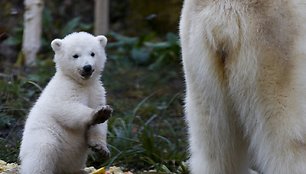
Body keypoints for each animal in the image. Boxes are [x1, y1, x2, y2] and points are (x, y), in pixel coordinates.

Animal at [19, 32, 112, 173]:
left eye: (92, 53)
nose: (87, 67)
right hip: (44, 135)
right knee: (43, 151)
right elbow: (66, 108)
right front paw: (98, 113)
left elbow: (99, 124)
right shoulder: (65, 89)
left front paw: (101, 148)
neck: (82, 84)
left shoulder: (96, 91)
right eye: (75, 55)